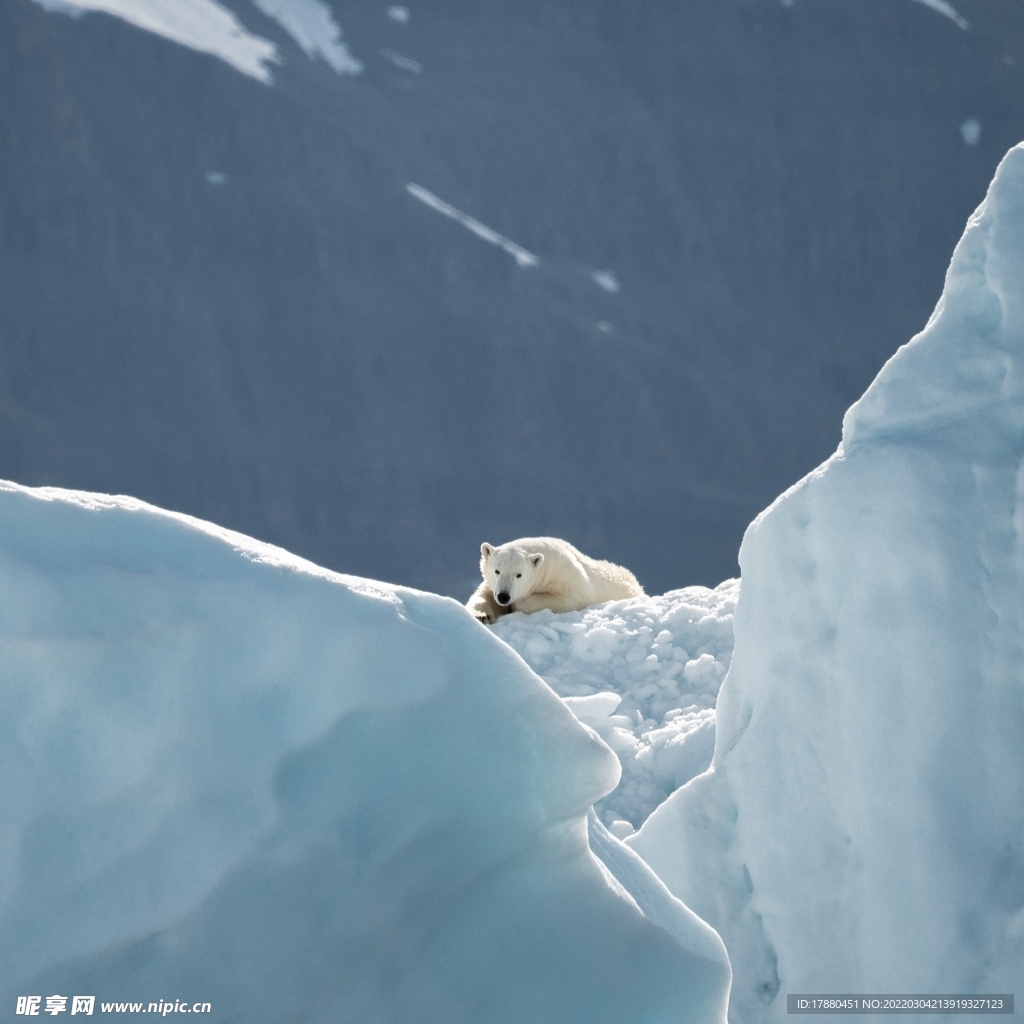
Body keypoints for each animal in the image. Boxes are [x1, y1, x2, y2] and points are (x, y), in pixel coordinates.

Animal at [464, 536, 638, 622]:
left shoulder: (568, 579)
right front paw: (482, 616)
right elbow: (482, 596)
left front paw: (516, 604)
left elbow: (567, 600)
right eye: (497, 571)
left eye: (519, 574)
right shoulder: (492, 585)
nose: (504, 596)